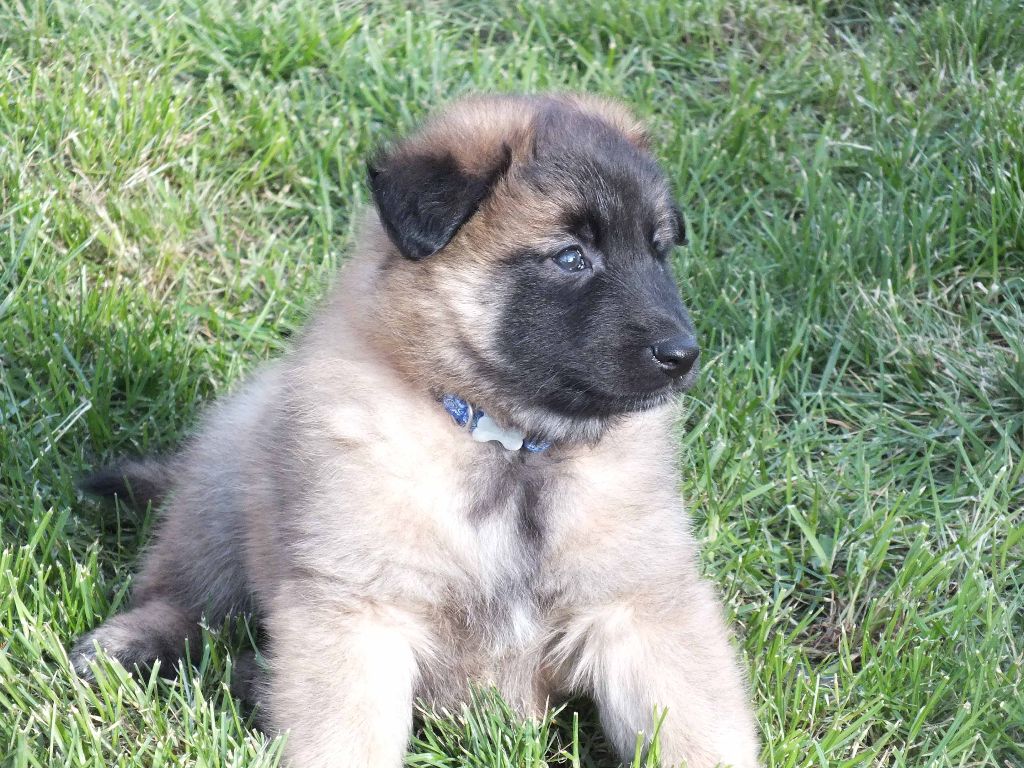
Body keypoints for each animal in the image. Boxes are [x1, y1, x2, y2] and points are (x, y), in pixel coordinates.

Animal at [74, 94, 761, 768]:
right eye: (571, 257)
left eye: (659, 252)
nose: (683, 354)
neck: (509, 446)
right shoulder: (359, 610)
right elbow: (344, 739)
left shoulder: (640, 607)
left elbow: (698, 728)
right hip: (223, 490)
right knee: (184, 595)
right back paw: (125, 645)